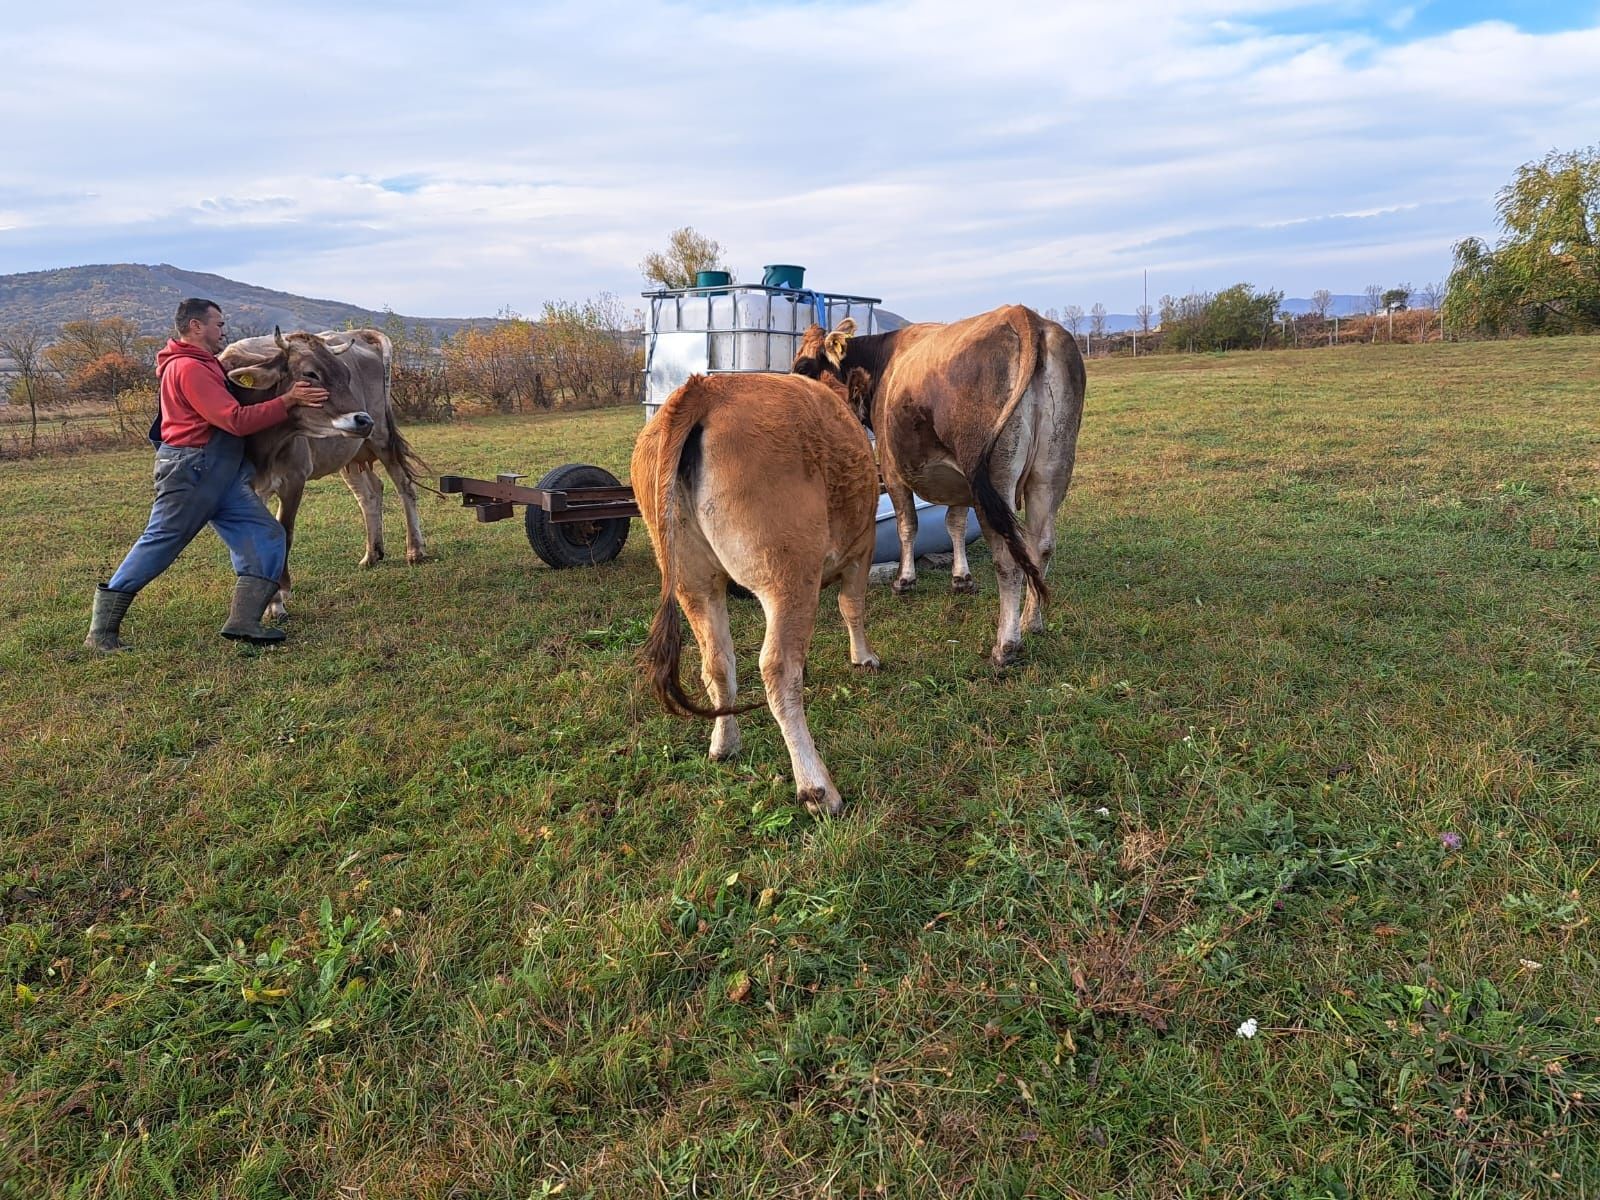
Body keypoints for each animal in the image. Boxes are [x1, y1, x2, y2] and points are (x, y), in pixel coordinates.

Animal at [222, 331, 432, 620]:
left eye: (346, 374)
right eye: (310, 374)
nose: (363, 419)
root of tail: (358, 333)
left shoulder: (294, 478)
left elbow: (284, 533)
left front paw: (277, 600)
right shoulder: (246, 488)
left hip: (382, 437)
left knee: (404, 486)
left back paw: (415, 550)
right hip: (349, 453)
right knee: (369, 493)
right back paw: (372, 553)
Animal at [633, 369, 883, 819]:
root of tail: (703, 388)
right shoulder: (862, 546)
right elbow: (851, 606)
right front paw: (864, 657)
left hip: (693, 581)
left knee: (717, 664)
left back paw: (724, 744)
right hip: (787, 573)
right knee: (777, 669)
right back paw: (817, 788)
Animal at [790, 305, 1088, 672]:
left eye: (804, 366)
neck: (882, 362)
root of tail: (1023, 315)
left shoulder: (893, 468)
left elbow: (907, 526)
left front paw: (904, 580)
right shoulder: (960, 484)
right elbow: (954, 524)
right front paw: (961, 578)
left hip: (995, 478)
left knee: (1008, 557)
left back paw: (1006, 644)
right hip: (1052, 468)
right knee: (1041, 546)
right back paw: (1032, 621)